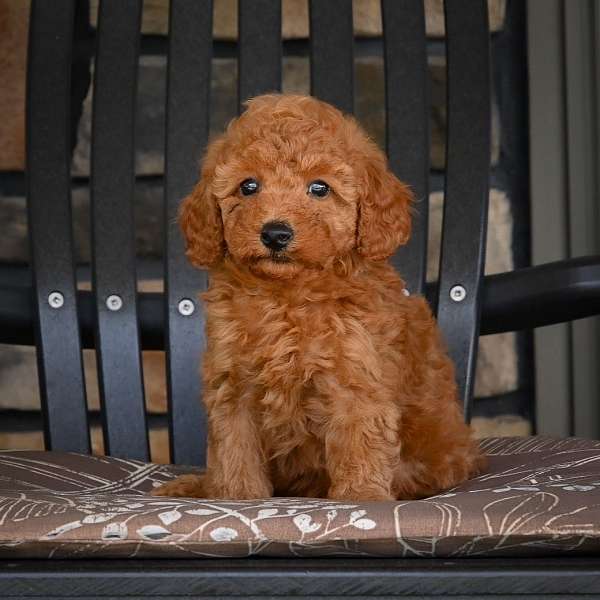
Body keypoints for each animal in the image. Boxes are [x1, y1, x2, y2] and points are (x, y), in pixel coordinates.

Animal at [155, 92, 482, 502]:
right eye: (248, 186)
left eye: (320, 188)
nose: (275, 233)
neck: (286, 296)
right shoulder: (233, 384)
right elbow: (234, 449)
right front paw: (236, 496)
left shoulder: (355, 377)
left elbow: (359, 442)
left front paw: (361, 496)